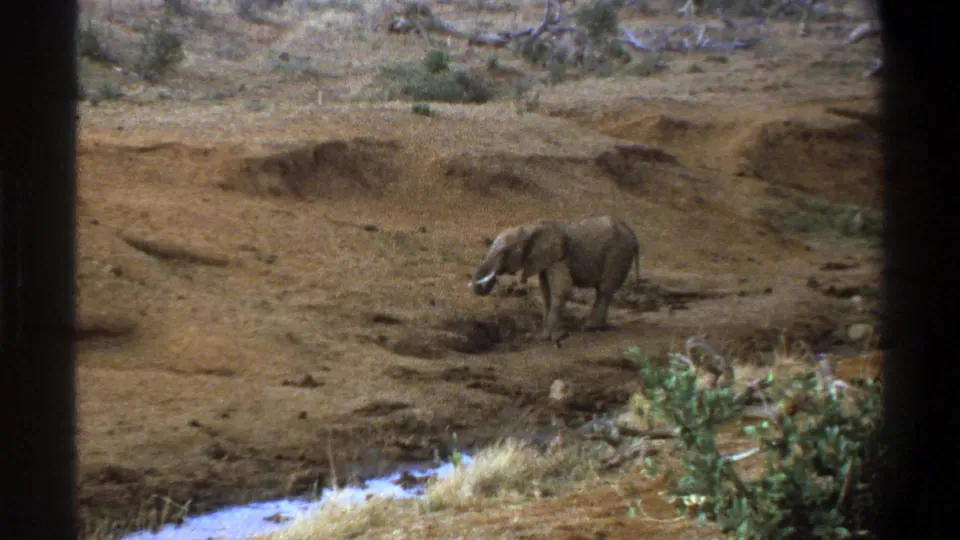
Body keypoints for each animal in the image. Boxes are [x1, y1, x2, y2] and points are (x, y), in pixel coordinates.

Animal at [468, 216, 642, 340]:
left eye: (504, 252)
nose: (481, 287)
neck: (529, 228)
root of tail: (634, 235)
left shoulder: (559, 257)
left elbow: (562, 289)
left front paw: (555, 337)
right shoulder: (543, 261)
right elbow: (546, 292)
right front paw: (544, 336)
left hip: (618, 253)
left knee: (605, 288)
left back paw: (591, 327)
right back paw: (601, 326)